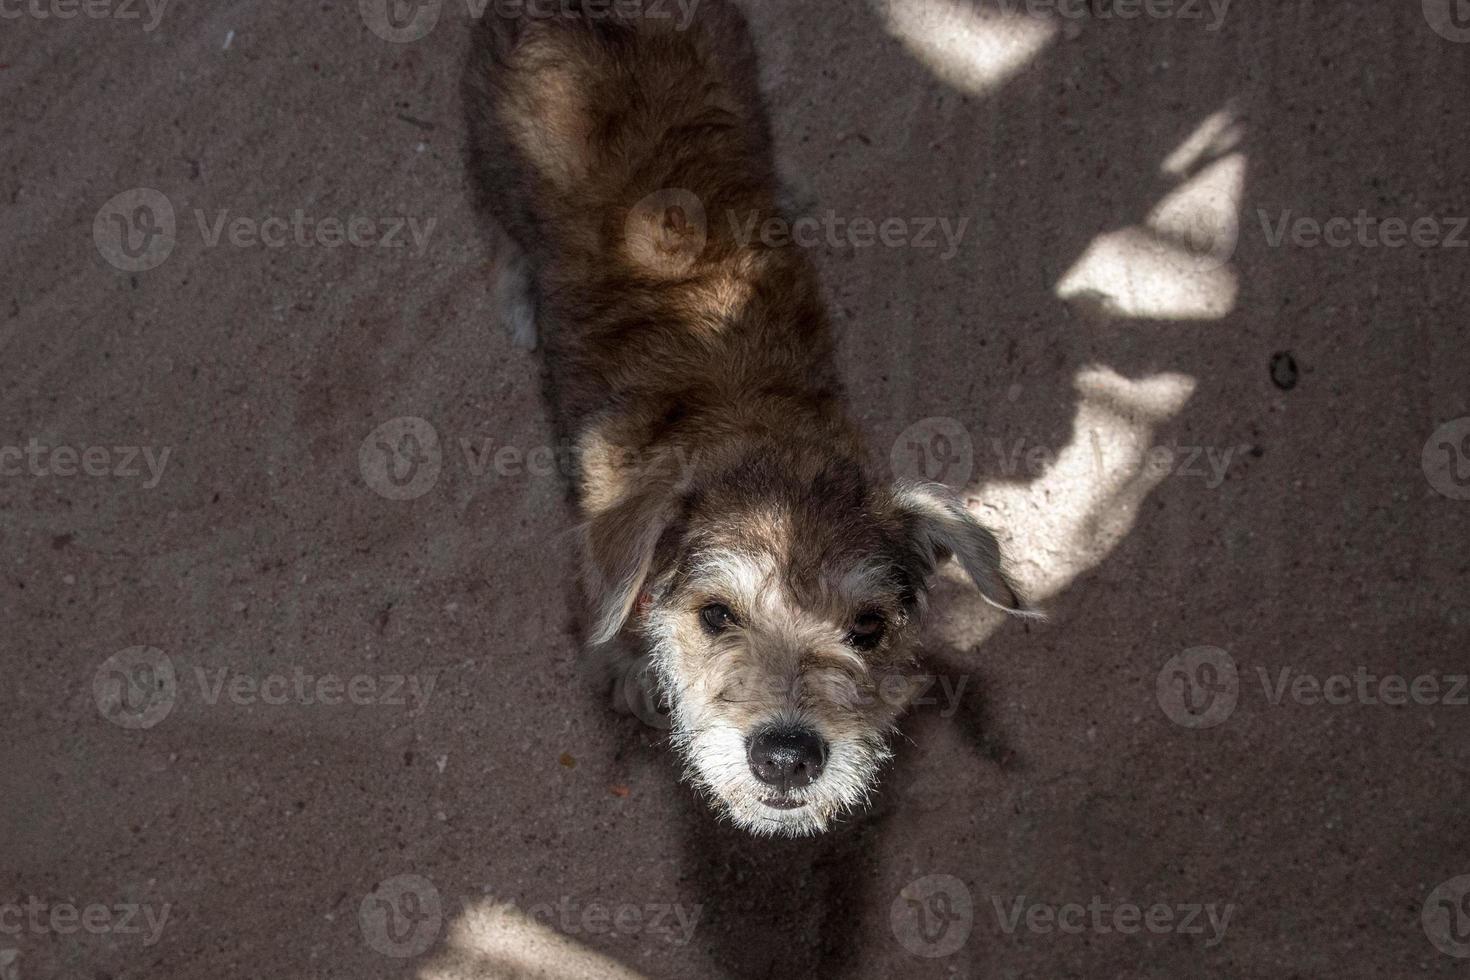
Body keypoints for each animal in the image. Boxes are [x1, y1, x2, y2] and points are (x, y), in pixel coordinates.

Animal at [464, 0, 1029, 840]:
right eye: (716, 614)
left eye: (868, 627)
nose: (788, 757)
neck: (758, 433)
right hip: (493, 148)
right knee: (500, 223)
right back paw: (519, 296)